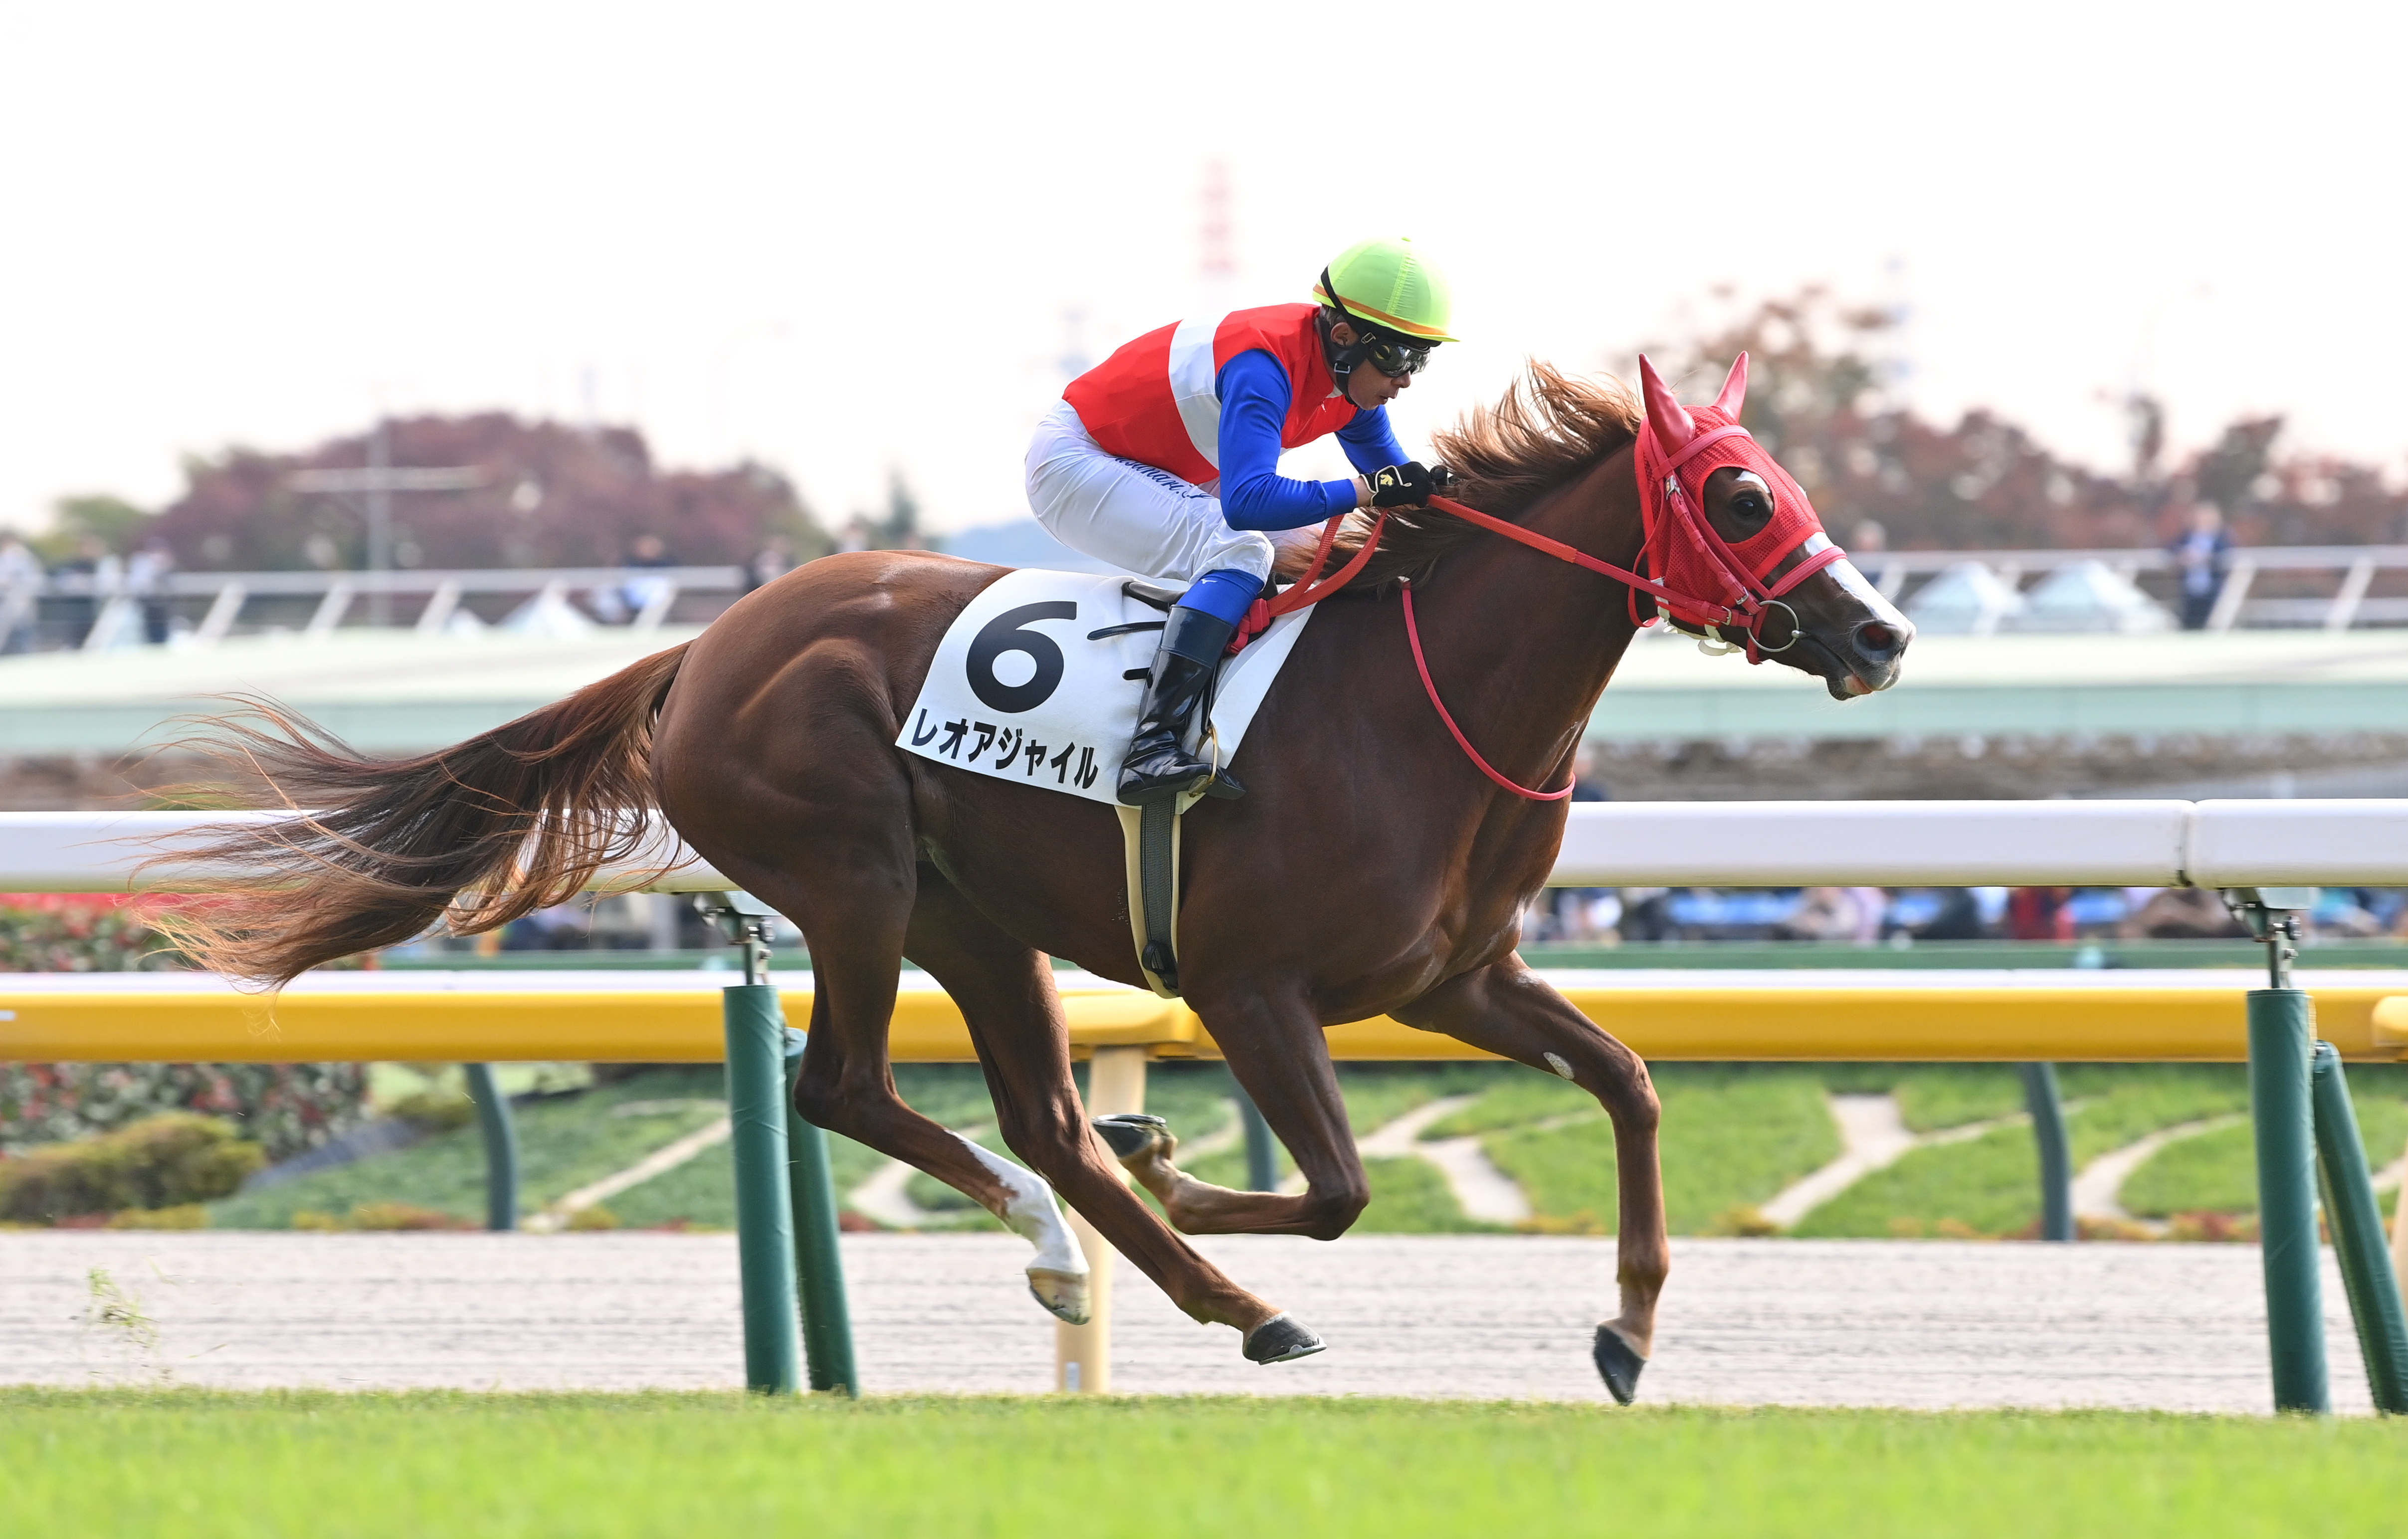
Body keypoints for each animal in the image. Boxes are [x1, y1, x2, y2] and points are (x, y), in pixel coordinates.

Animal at [167, 355, 1912, 1402]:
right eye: (1741, 493)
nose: (1880, 630)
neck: (1419, 700)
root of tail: (703, 646)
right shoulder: (1249, 984)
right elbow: (1339, 1186)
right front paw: (1186, 1164)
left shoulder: (1452, 978)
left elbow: (1627, 1082)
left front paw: (1625, 1327)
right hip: (855, 878)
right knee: (847, 1086)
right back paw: (1152, 1262)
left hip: (975, 917)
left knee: (1038, 1117)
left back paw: (1132, 1267)